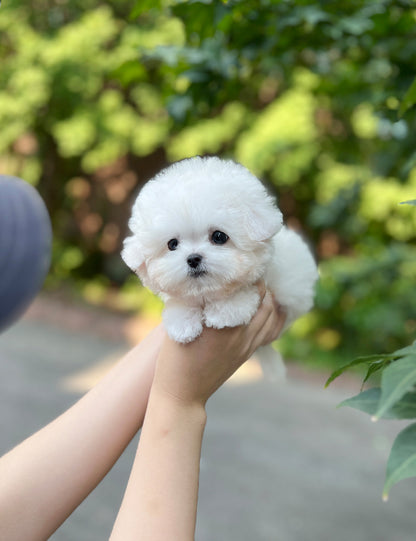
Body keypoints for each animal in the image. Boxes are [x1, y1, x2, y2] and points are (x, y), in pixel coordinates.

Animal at [122, 156, 316, 374]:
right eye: (172, 244)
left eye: (219, 236)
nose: (193, 258)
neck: (207, 292)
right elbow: (181, 302)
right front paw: (182, 323)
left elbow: (242, 291)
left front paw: (224, 312)